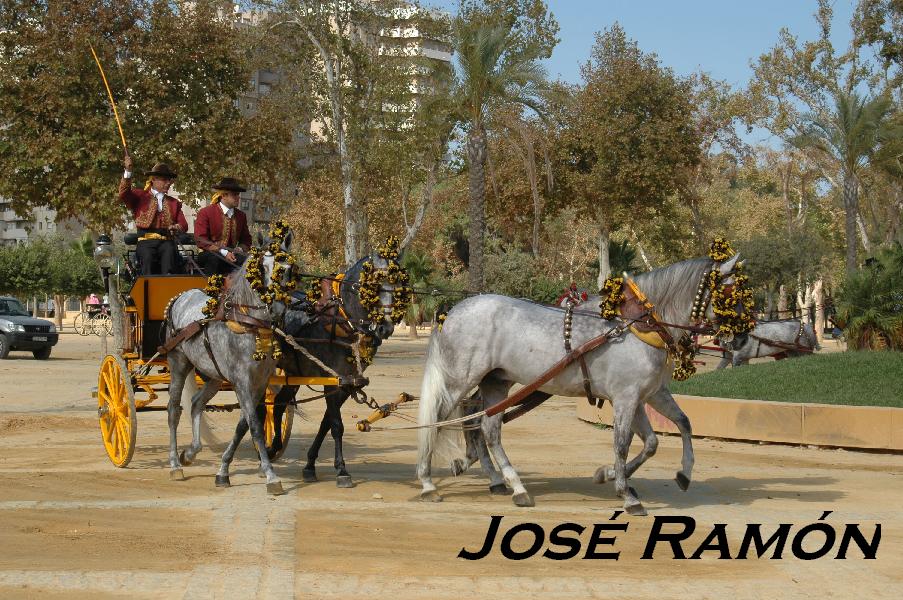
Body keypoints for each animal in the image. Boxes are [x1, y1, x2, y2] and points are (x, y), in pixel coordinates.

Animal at [162, 232, 296, 494]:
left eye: (287, 269)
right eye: (262, 268)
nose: (277, 307)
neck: (249, 324)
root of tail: (180, 297)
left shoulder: (259, 383)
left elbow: (244, 424)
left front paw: (223, 470)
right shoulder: (241, 381)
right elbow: (255, 425)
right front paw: (271, 475)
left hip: (214, 376)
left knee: (196, 403)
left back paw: (190, 453)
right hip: (178, 363)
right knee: (174, 410)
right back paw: (174, 464)